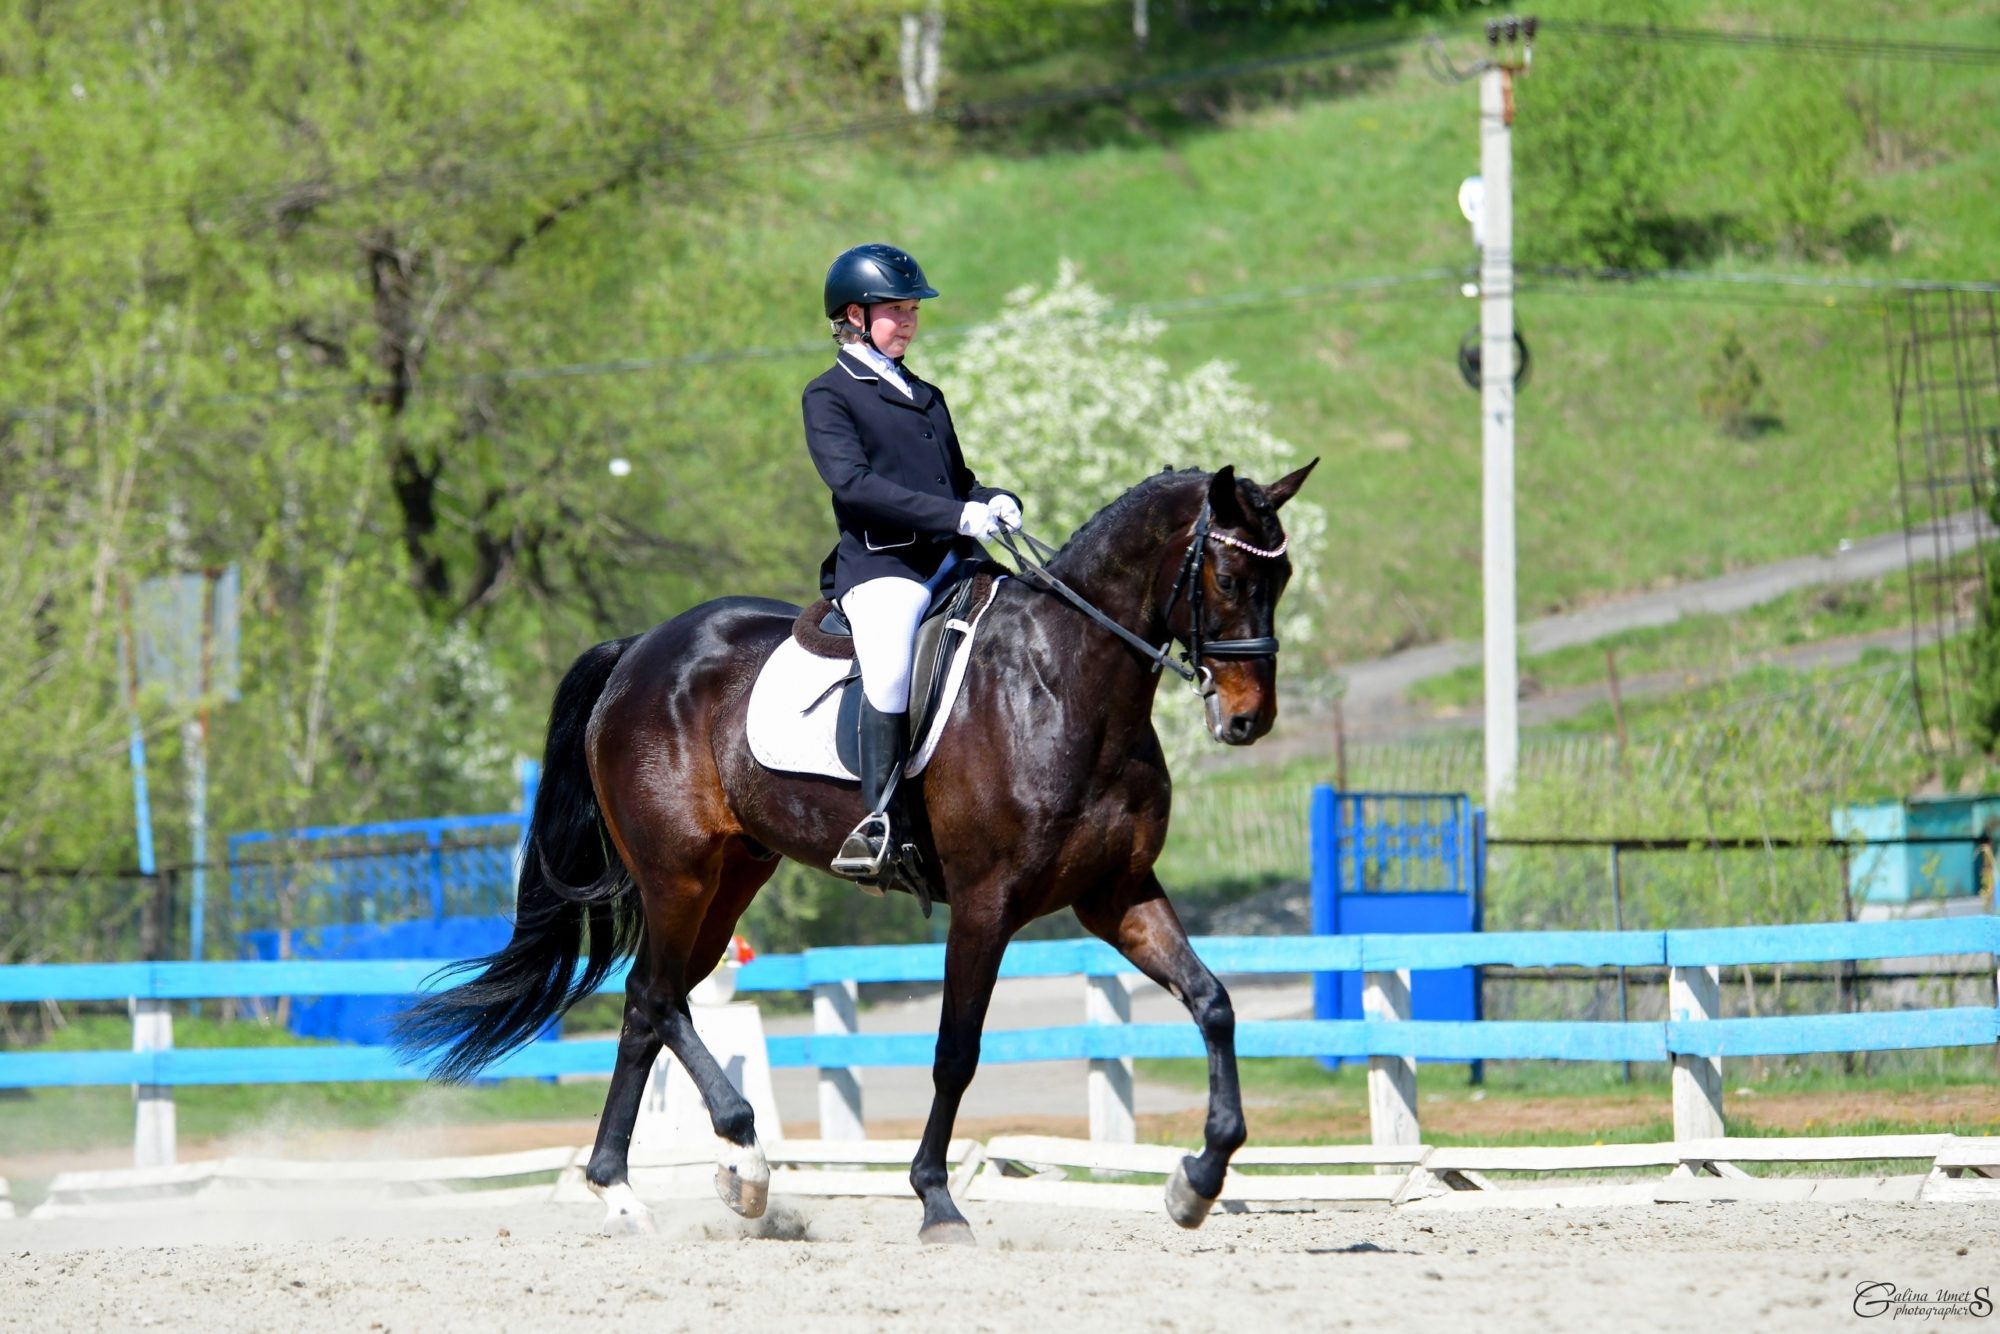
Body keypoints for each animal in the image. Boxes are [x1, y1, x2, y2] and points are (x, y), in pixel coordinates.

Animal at [398, 464, 1320, 1248]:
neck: (1064, 683)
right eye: (1229, 580)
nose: (1249, 721)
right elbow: (956, 1051)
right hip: (678, 872)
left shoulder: (1116, 893)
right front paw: (937, 1201)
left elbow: (1213, 1003)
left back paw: (625, 1193)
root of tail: (639, 651)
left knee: (645, 1007)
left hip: (732, 875)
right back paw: (745, 1163)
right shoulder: (986, 904)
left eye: (1280, 582)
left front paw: (1197, 1179)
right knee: (657, 999)